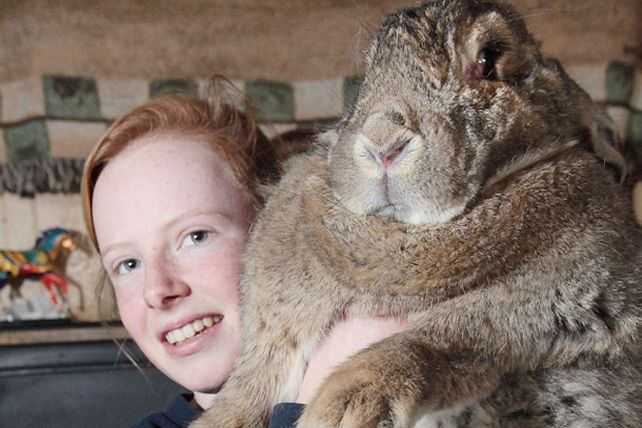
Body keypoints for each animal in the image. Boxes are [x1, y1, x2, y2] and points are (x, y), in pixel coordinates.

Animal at [192, 0, 642, 427]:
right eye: (366, 77)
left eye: (489, 58)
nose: (382, 143)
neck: (406, 233)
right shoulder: (275, 330)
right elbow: (251, 383)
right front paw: (217, 421)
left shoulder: (570, 299)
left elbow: (451, 334)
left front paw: (346, 406)